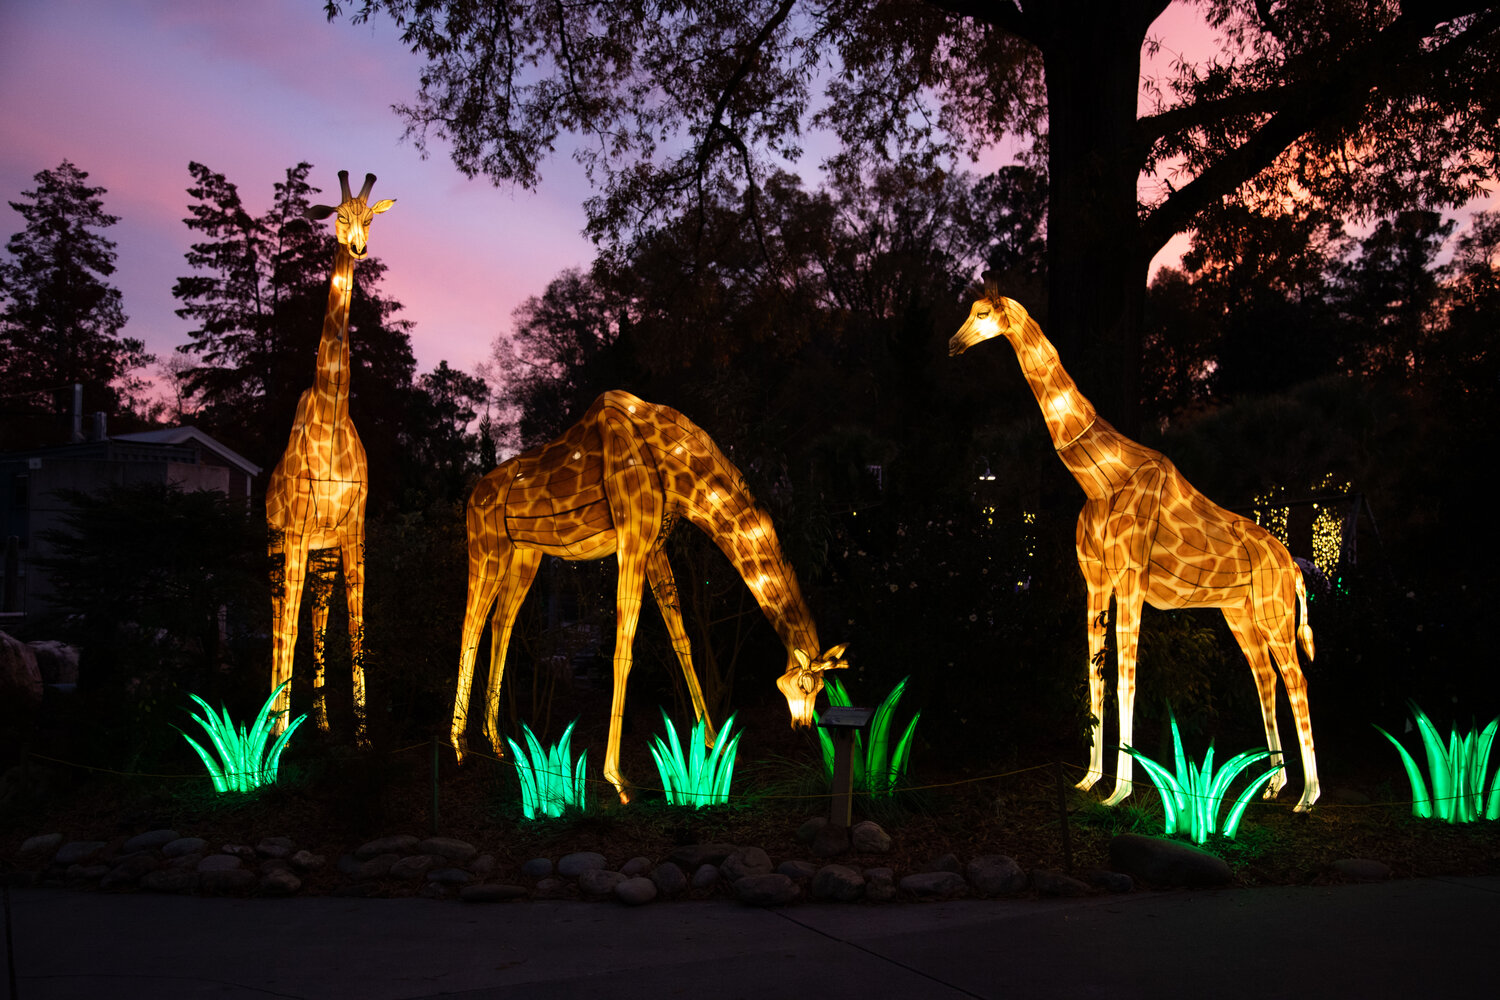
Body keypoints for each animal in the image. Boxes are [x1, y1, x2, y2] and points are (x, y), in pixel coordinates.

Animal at [450, 386, 852, 803]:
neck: (679, 473)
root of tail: (474, 495)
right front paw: (619, 781)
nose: (803, 725)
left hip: (525, 554)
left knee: (501, 622)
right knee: (470, 625)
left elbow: (682, 639)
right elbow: (622, 653)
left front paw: (715, 743)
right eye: (802, 684)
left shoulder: (657, 545)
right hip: (488, 548)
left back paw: (496, 743)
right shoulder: (633, 540)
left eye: (821, 688)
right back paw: (461, 748)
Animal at [954, 281, 1320, 815]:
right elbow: (1096, 678)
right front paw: (1088, 780)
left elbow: (1126, 680)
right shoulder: (1095, 581)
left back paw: (1307, 797)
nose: (953, 345)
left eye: (983, 314)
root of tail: (1292, 564)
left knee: (1297, 681)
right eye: (968, 310)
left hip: (1274, 612)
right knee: (1265, 679)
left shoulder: (1130, 579)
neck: (1100, 477)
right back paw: (1274, 785)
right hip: (1240, 612)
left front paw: (1119, 792)